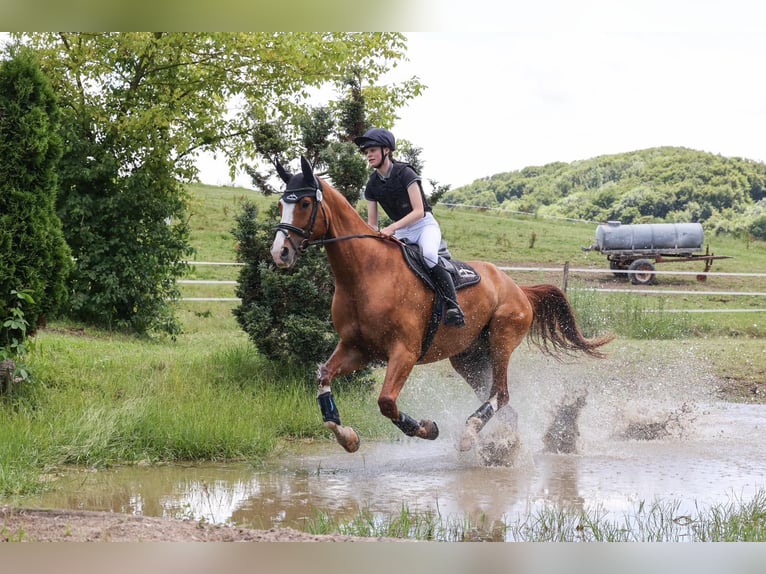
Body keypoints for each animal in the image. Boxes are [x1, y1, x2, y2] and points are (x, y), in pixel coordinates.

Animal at [270, 156, 612, 454]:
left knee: (500, 393)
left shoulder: (404, 352)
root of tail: (517, 287)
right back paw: (501, 446)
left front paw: (427, 428)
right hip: (469, 358)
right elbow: (324, 378)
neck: (365, 273)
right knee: (503, 403)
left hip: (502, 339)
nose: (280, 253)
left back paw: (471, 433)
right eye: (281, 204)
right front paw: (347, 437)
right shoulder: (358, 349)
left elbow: (387, 402)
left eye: (304, 203)